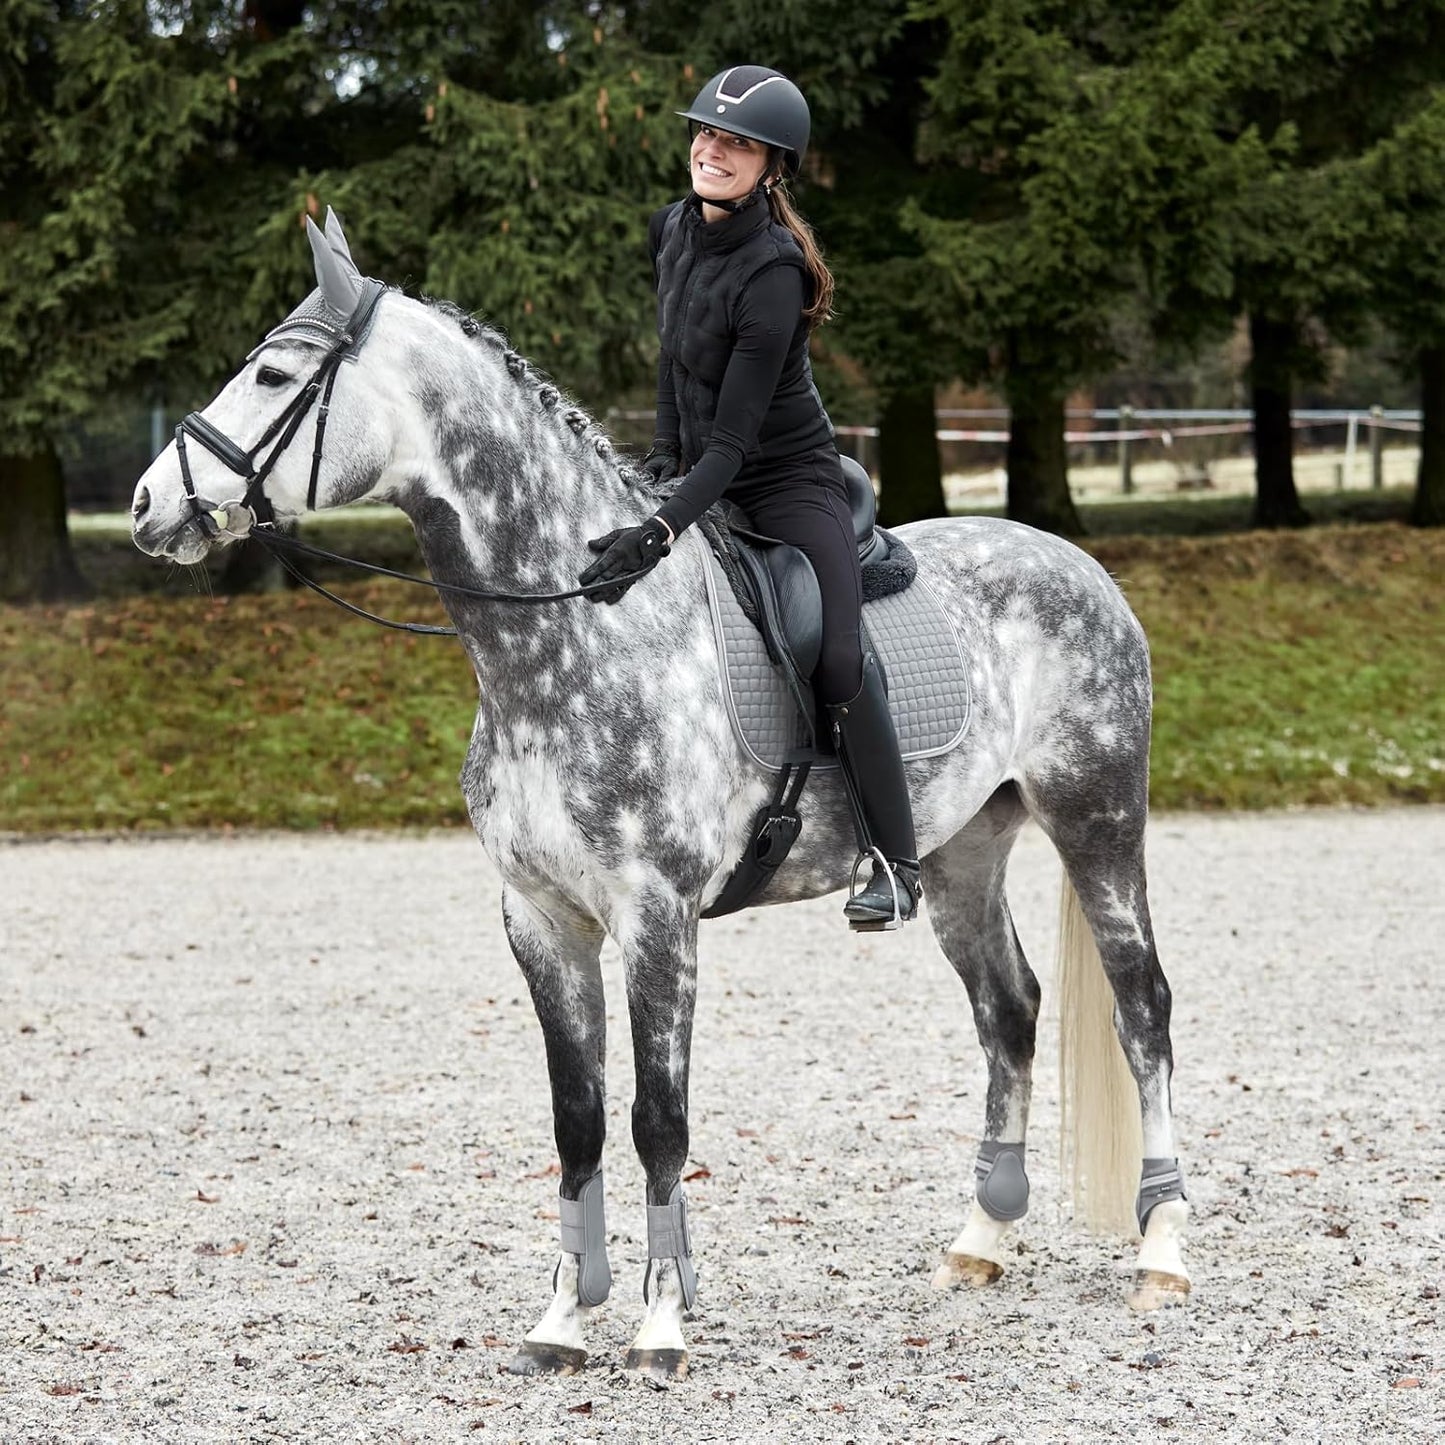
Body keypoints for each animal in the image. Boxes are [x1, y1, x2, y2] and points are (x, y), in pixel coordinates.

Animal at [130, 210, 1190, 1381]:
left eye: (272, 375)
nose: (147, 505)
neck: (574, 633)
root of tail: (1076, 564)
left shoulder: (657, 916)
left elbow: (658, 1120)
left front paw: (660, 1324)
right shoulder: (542, 919)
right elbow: (578, 1121)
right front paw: (562, 1318)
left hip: (1096, 819)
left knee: (1141, 1007)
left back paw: (1161, 1252)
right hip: (961, 853)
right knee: (1006, 1010)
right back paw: (979, 1239)